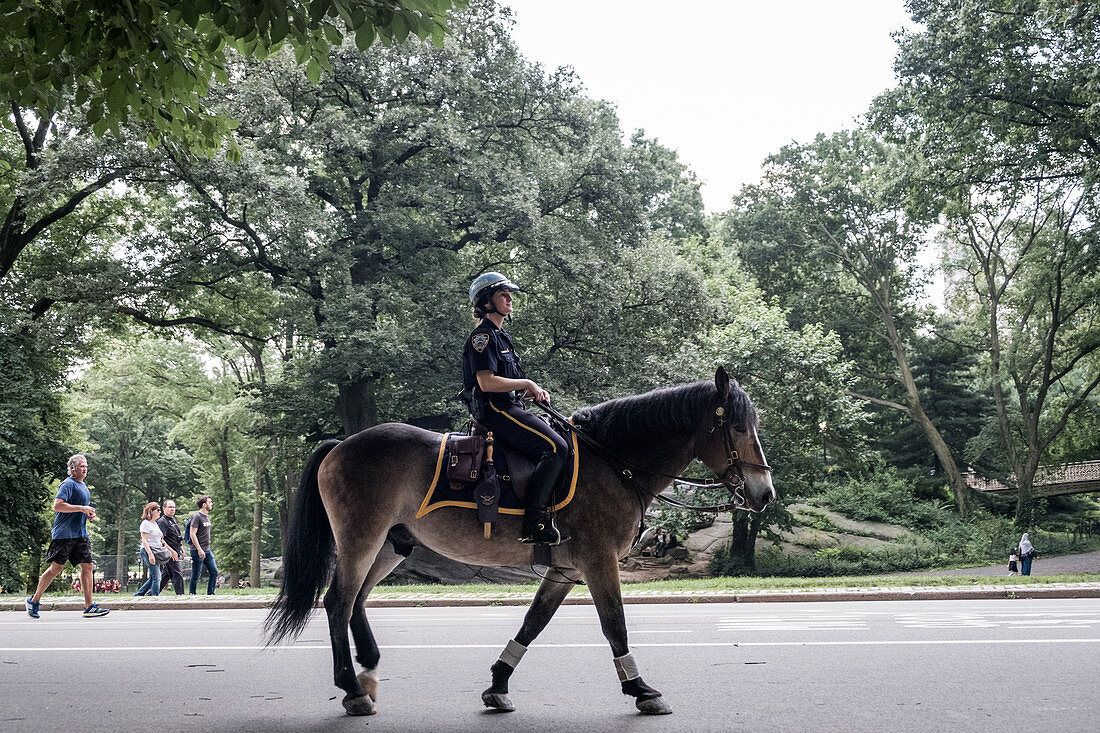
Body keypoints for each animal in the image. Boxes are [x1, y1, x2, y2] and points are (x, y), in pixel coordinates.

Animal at [265, 365, 774, 713]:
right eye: (737, 427)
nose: (765, 493)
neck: (611, 461)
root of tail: (342, 444)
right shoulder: (597, 561)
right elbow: (615, 624)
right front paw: (639, 688)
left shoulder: (564, 569)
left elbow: (533, 624)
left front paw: (498, 684)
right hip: (360, 538)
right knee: (337, 602)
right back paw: (352, 689)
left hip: (389, 546)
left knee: (355, 602)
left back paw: (367, 671)